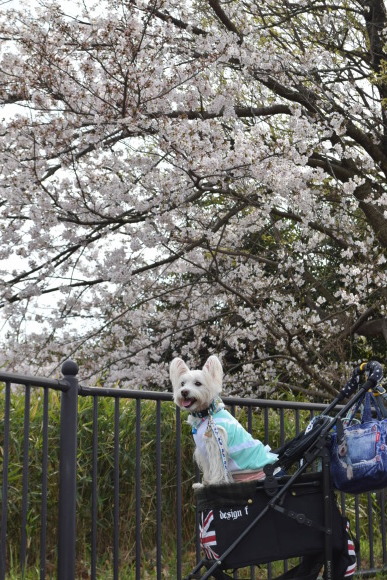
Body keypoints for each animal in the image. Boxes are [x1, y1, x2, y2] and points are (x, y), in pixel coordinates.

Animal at [171, 356, 278, 488]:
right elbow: (208, 469)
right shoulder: (203, 450)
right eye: (182, 384)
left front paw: (215, 483)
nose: (184, 392)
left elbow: (218, 467)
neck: (206, 413)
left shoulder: (215, 444)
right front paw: (204, 484)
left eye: (198, 383)